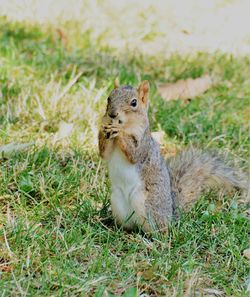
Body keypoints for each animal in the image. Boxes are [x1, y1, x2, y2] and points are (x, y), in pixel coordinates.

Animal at [98, 80, 249, 232]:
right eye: (109, 98)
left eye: (134, 103)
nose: (112, 114)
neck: (127, 127)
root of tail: (170, 216)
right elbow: (104, 154)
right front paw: (103, 127)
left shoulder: (144, 144)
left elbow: (135, 154)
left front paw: (119, 130)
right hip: (117, 202)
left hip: (148, 206)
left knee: (159, 230)